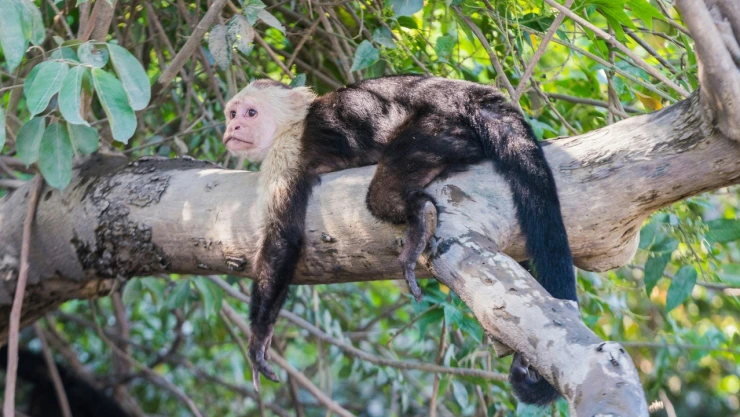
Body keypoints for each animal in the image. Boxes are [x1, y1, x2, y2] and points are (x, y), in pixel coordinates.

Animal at [223, 75, 576, 405]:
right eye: (232, 113)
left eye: (251, 113)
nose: (233, 126)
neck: (293, 123)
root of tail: (470, 93)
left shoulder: (286, 153)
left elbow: (283, 239)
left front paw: (259, 338)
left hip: (437, 127)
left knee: (383, 193)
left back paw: (420, 217)